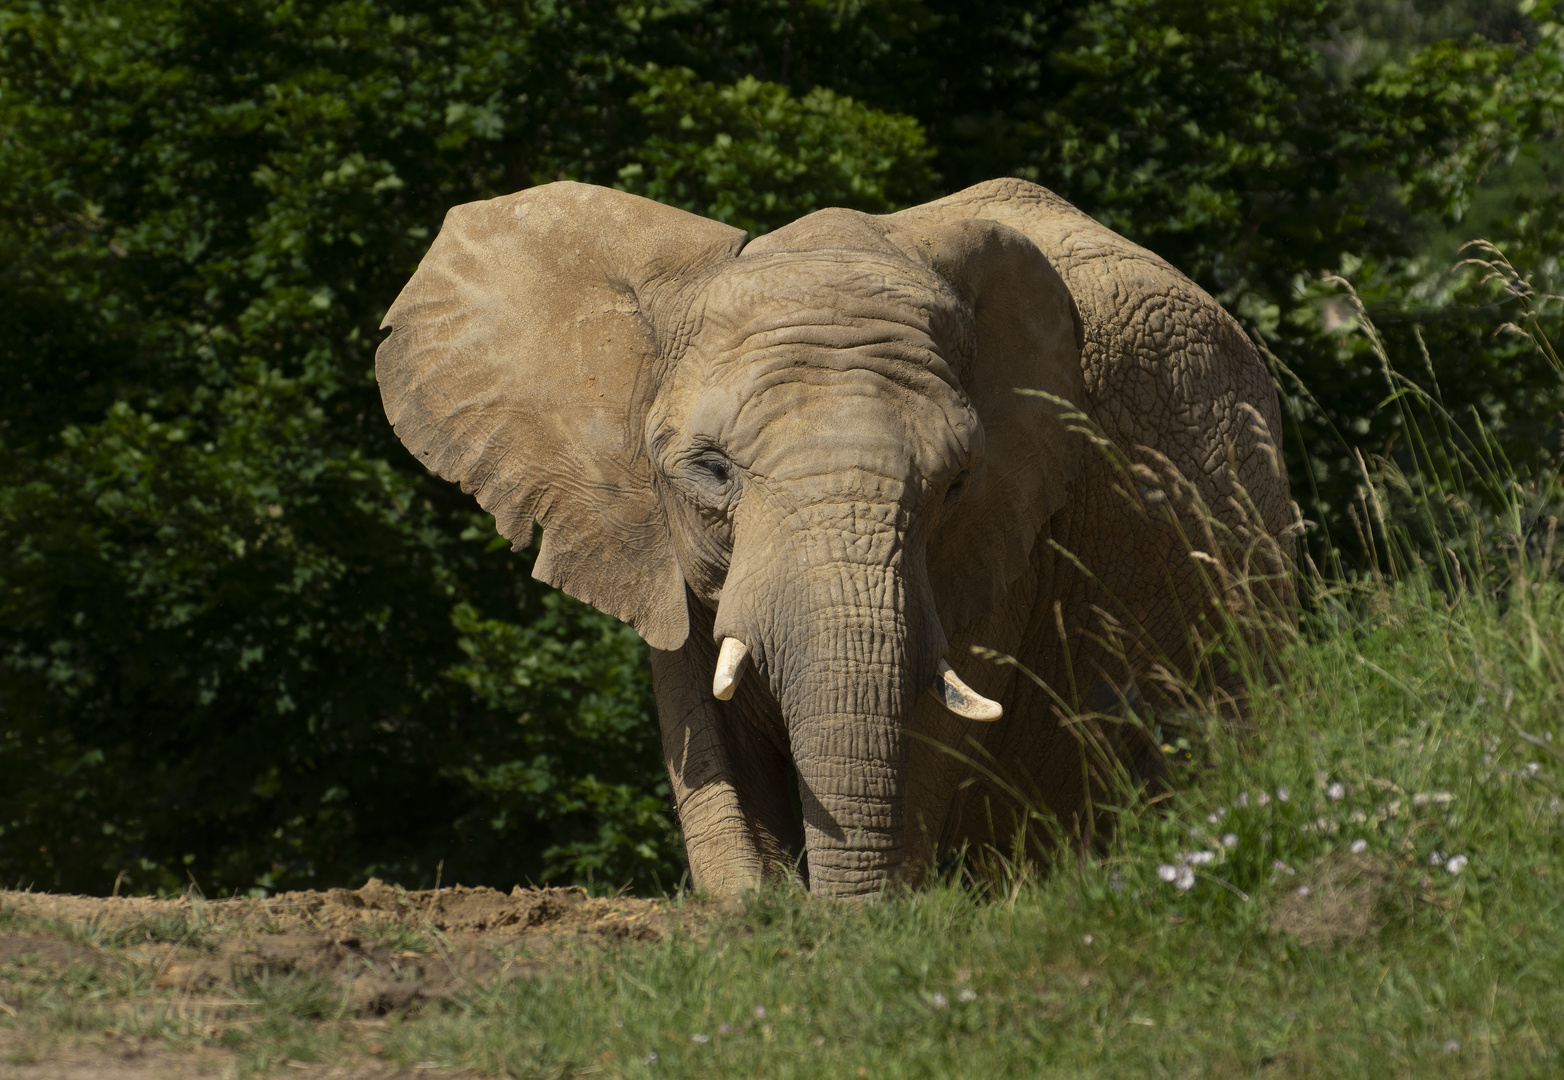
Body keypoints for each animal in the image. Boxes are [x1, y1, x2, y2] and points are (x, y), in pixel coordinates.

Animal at [372, 177, 1288, 900]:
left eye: (956, 484)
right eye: (710, 471)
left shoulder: (1009, 529)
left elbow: (935, 718)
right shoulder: (656, 537)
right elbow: (708, 731)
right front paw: (756, 913)